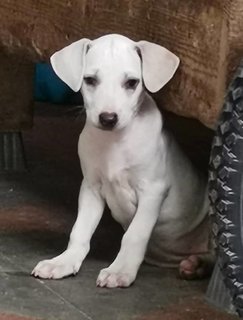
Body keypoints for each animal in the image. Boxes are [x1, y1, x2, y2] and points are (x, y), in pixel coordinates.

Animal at [32, 34, 211, 288]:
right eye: (90, 80)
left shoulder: (153, 191)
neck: (114, 143)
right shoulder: (91, 188)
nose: (108, 118)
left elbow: (134, 234)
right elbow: (80, 231)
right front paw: (63, 262)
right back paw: (195, 265)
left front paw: (121, 270)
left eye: (132, 83)